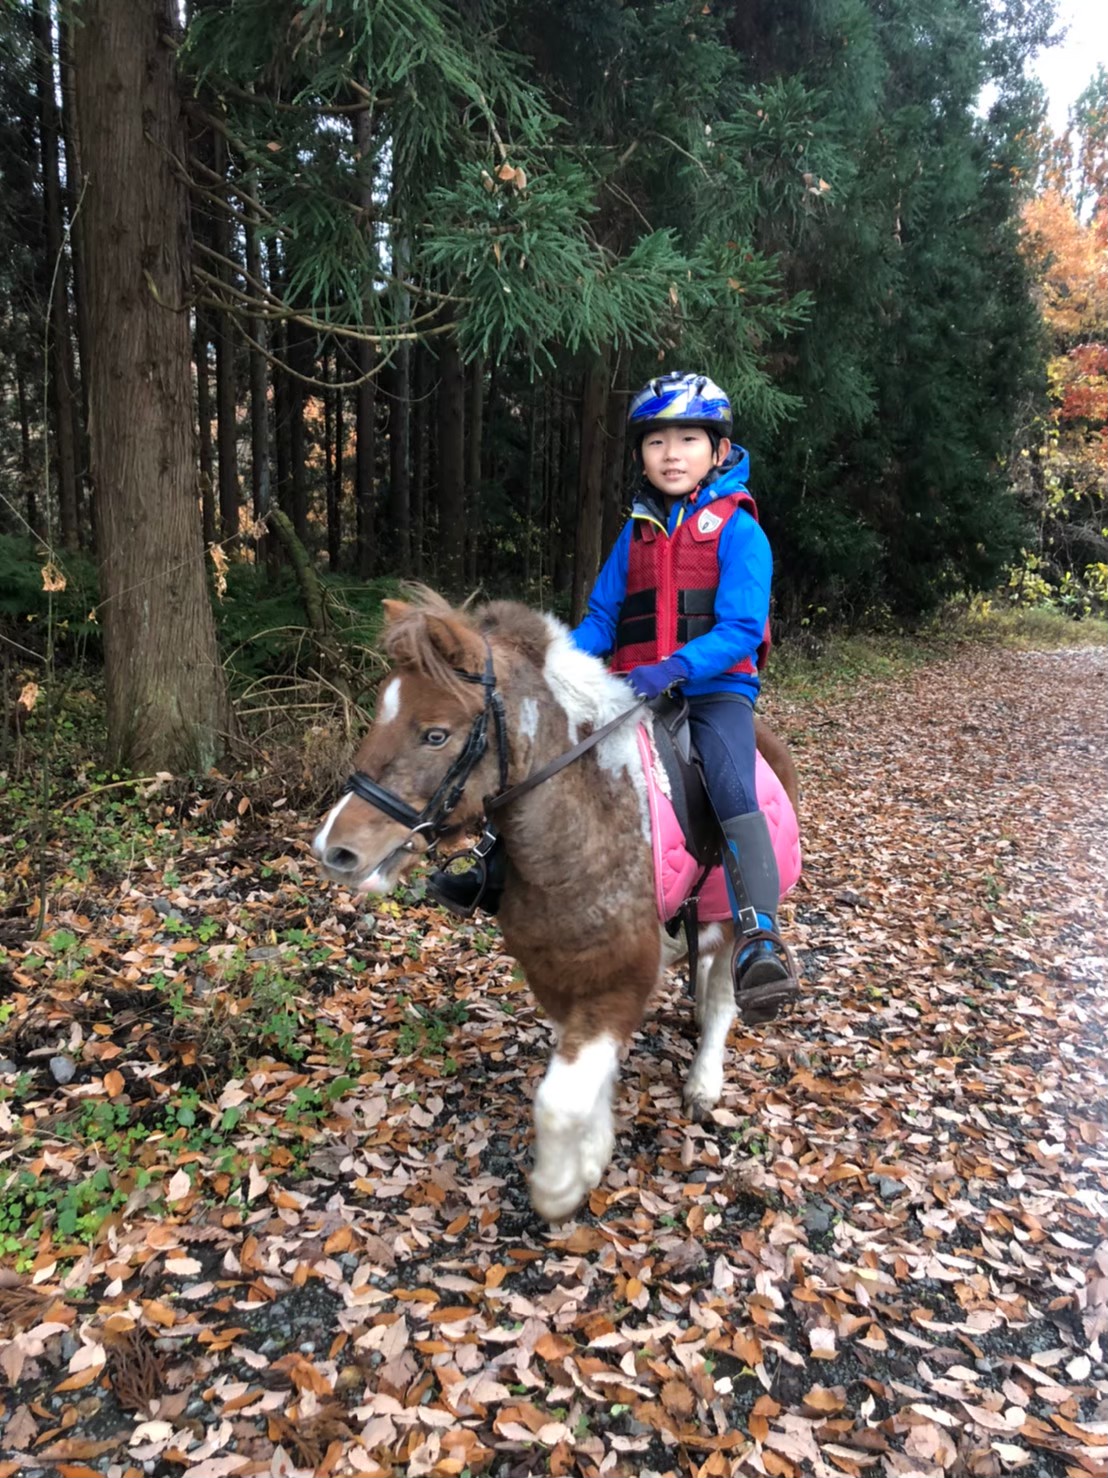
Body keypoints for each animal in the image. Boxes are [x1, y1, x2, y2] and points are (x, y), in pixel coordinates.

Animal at [311, 590, 800, 1223]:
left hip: (737, 919)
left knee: (724, 994)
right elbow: (582, 1080)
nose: (335, 849)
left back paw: (704, 1082)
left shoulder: (621, 980)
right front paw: (592, 1151)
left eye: (436, 735)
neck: (587, 823)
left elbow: (559, 1099)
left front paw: (560, 1185)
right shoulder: (557, 974)